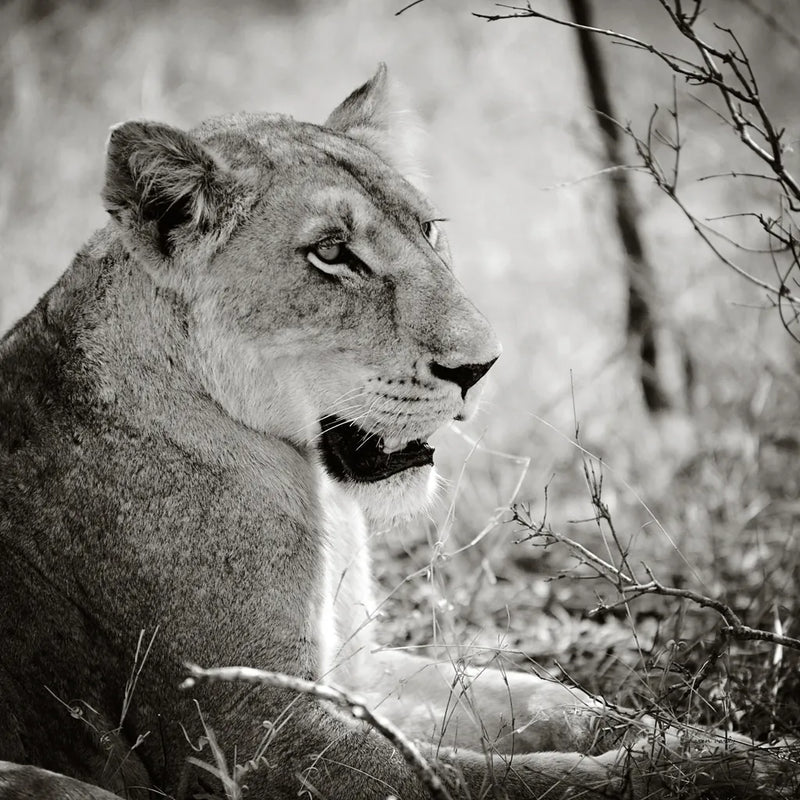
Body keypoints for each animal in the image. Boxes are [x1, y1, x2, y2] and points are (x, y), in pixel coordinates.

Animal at [0, 66, 789, 800]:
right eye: (331, 253)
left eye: (429, 229)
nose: (482, 367)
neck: (319, 494)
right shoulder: (250, 736)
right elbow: (495, 780)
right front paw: (719, 774)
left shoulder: (357, 669)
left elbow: (544, 699)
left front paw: (721, 745)